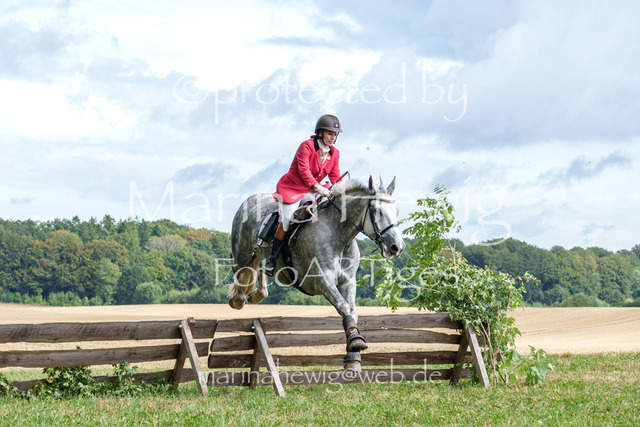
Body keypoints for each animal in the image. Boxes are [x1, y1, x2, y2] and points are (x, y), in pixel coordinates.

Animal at [228, 176, 405, 370]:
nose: (397, 247)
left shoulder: (348, 281)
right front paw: (355, 342)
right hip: (241, 255)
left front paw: (353, 355)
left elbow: (352, 311)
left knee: (259, 271)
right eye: (376, 211)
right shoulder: (322, 281)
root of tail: (249, 200)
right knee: (241, 274)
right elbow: (344, 307)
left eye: (397, 211)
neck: (339, 234)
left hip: (258, 255)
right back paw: (239, 299)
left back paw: (256, 293)